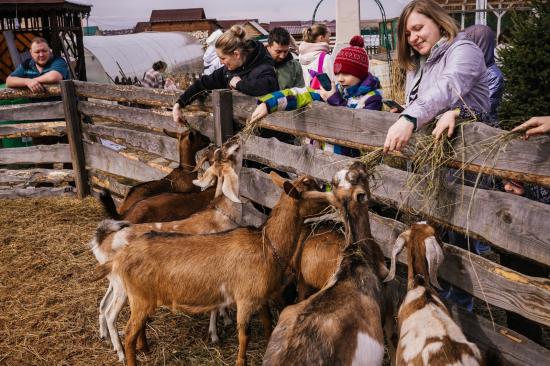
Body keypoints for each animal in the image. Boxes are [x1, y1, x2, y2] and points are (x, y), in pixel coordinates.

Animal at [95, 172, 330, 366]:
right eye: (317, 196)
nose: (334, 198)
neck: (267, 244)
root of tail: (120, 256)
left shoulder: (260, 298)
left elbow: (267, 324)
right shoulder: (245, 300)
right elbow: (245, 335)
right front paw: (240, 362)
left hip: (142, 298)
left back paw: (145, 347)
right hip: (139, 297)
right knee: (128, 334)